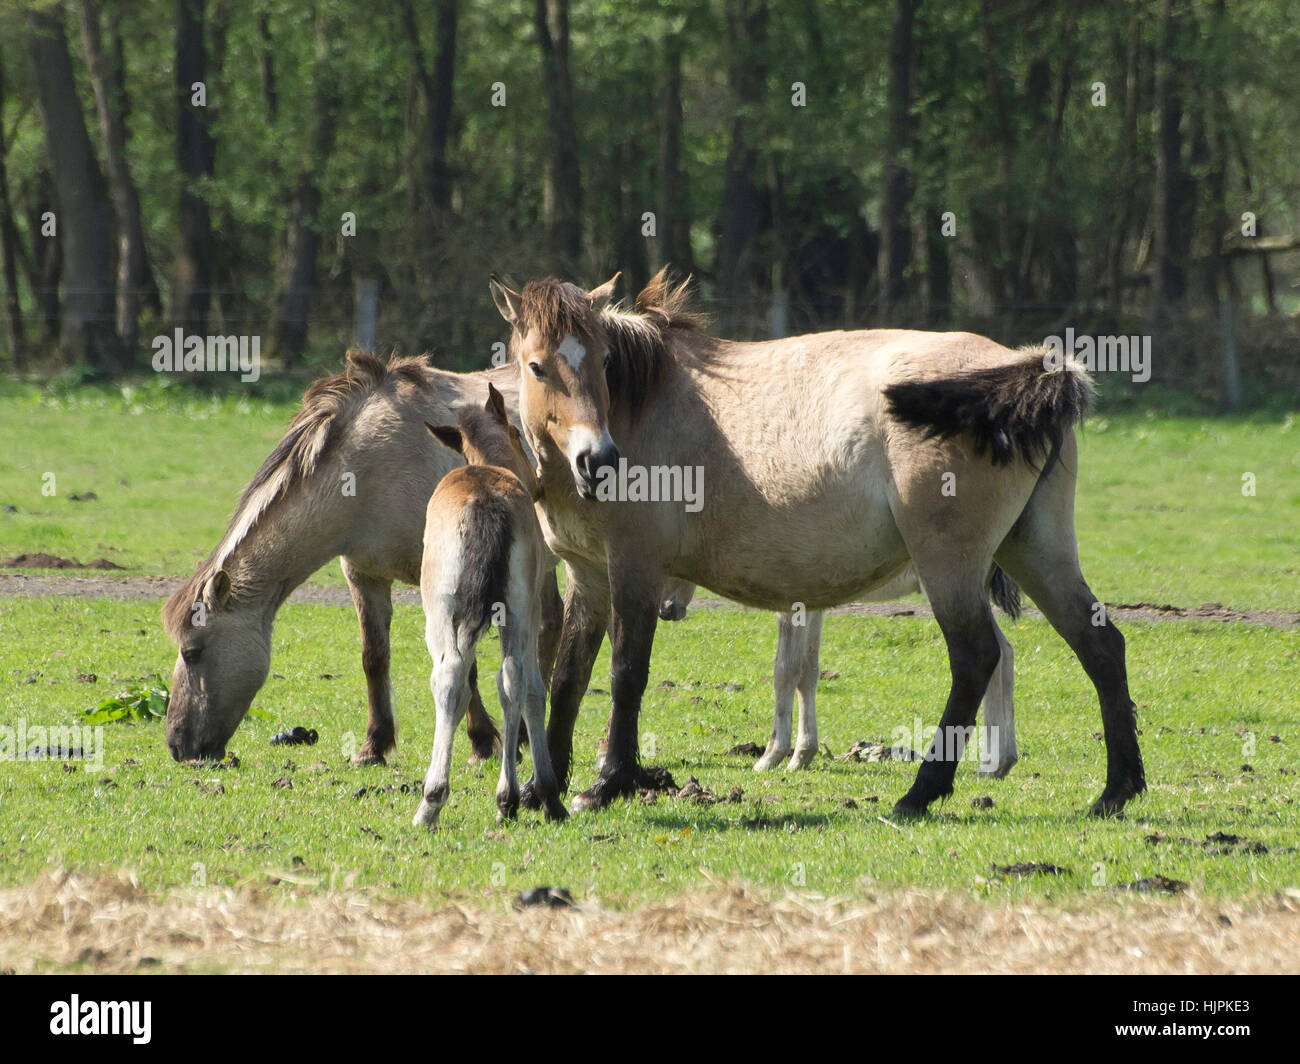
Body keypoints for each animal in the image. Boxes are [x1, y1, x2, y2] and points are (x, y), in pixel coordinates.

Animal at [162, 349, 563, 765]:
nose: (178, 745)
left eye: (192, 652)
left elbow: (463, 665)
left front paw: (482, 740)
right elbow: (374, 657)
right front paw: (375, 744)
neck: (376, 465)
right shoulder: (363, 576)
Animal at [413, 383, 567, 828]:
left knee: (449, 678)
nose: (538, 482)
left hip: (440, 613)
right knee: (511, 679)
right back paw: (507, 797)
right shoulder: (530, 610)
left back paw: (432, 800)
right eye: (518, 434)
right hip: (515, 612)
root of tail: (483, 498)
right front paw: (542, 793)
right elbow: (531, 689)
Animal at [657, 565, 1020, 776]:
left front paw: (771, 756)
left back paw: (992, 762)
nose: (665, 609)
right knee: (1003, 653)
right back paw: (999, 762)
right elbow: (808, 671)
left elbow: (784, 670)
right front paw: (802, 755)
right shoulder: (811, 605)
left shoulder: (789, 603)